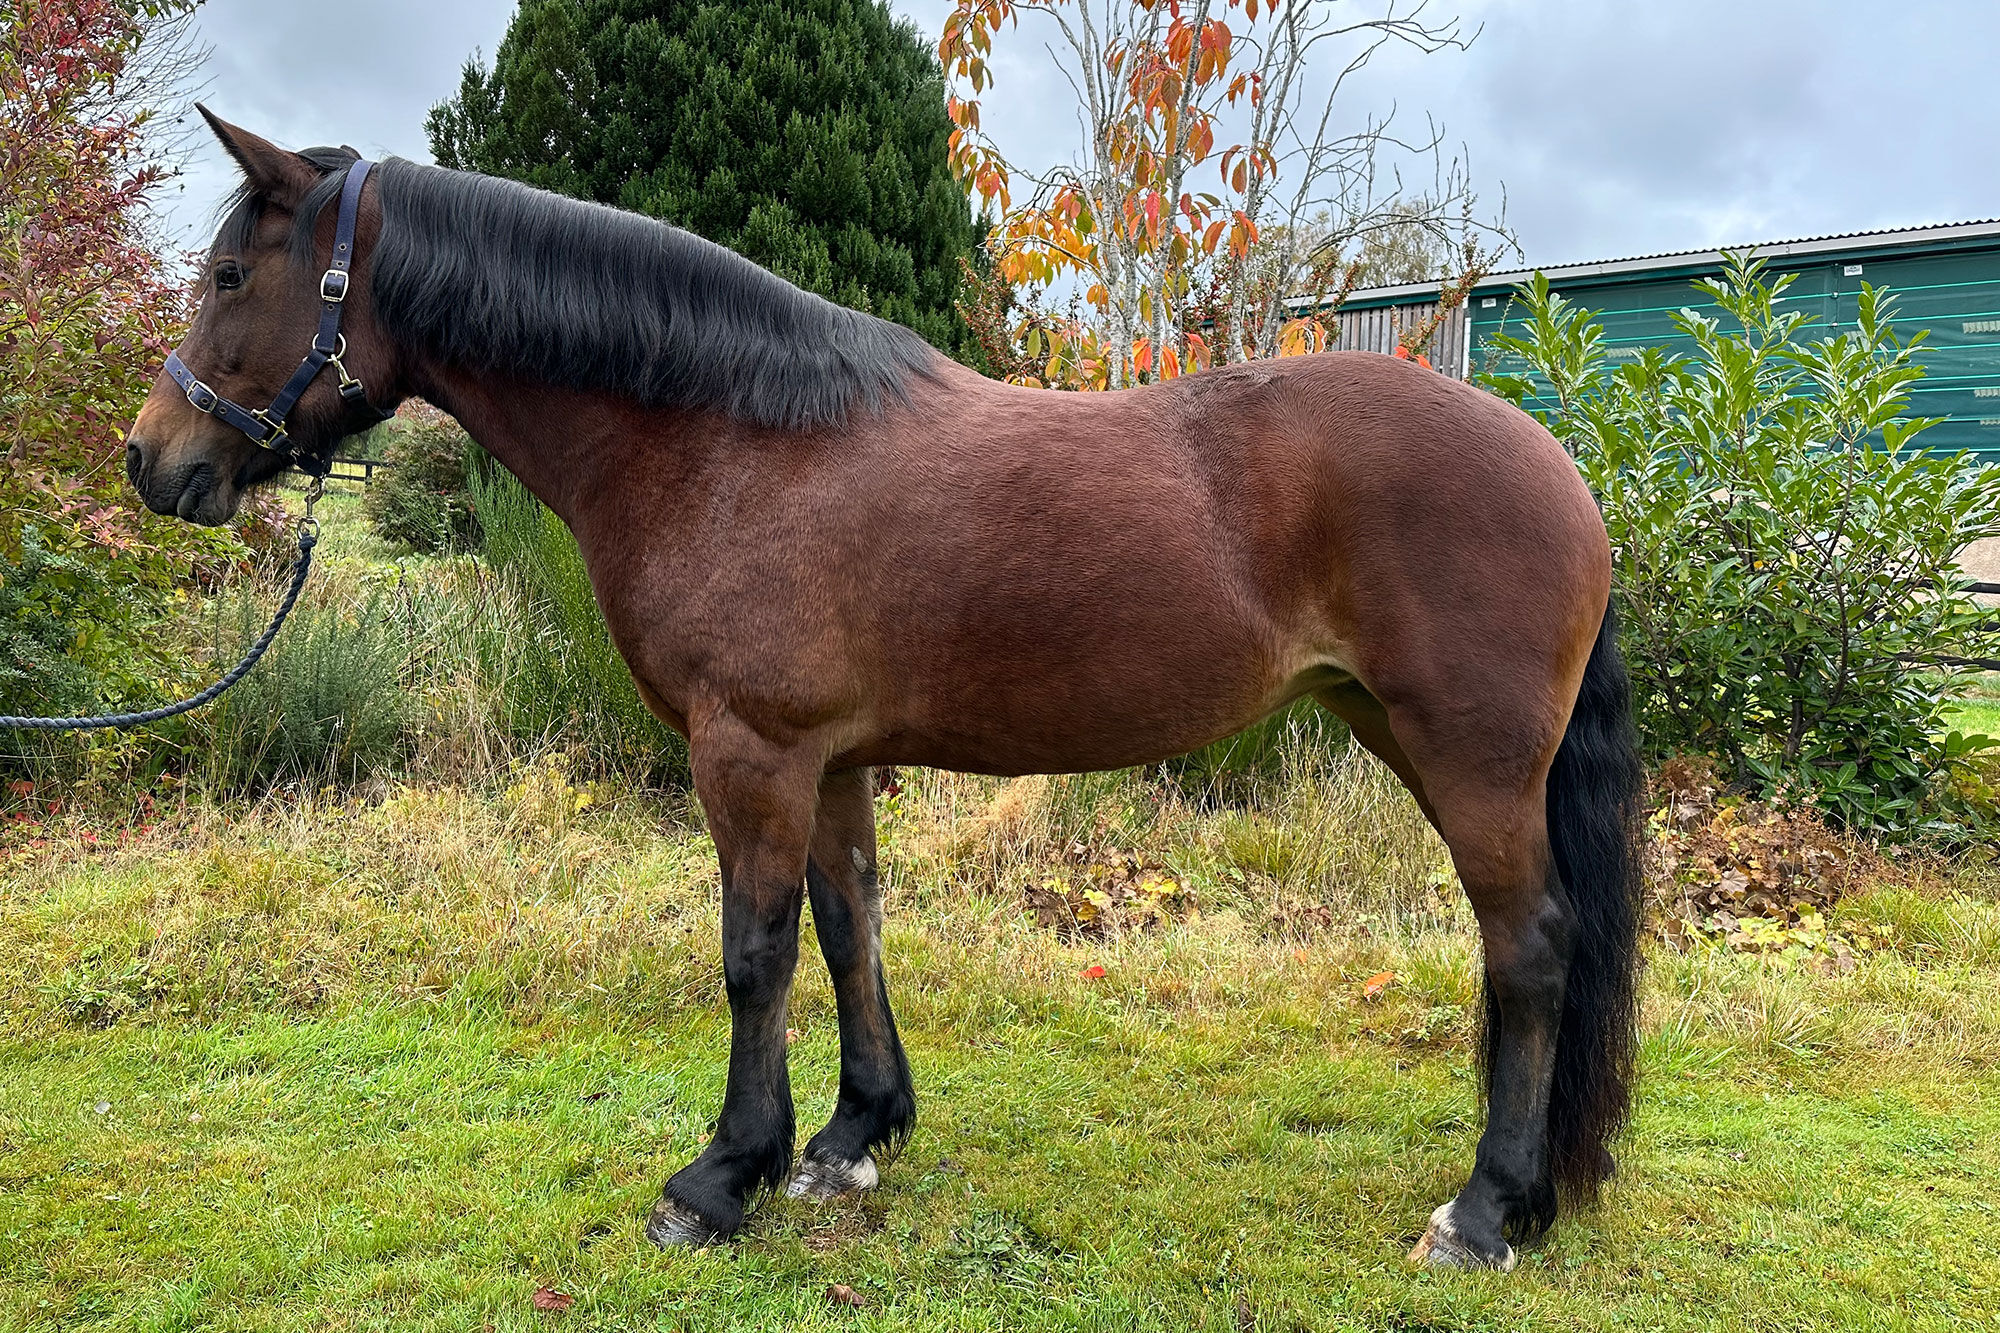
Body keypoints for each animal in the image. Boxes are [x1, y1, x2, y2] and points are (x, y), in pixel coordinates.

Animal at [133, 114, 1648, 1264]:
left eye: (227, 273)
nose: (155, 463)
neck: (731, 438)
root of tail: (1559, 470)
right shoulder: (830, 757)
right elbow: (848, 923)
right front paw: (851, 1135)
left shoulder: (747, 751)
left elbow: (753, 954)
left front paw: (718, 1177)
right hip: (1397, 730)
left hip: (1471, 760)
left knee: (1529, 950)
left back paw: (1483, 1211)